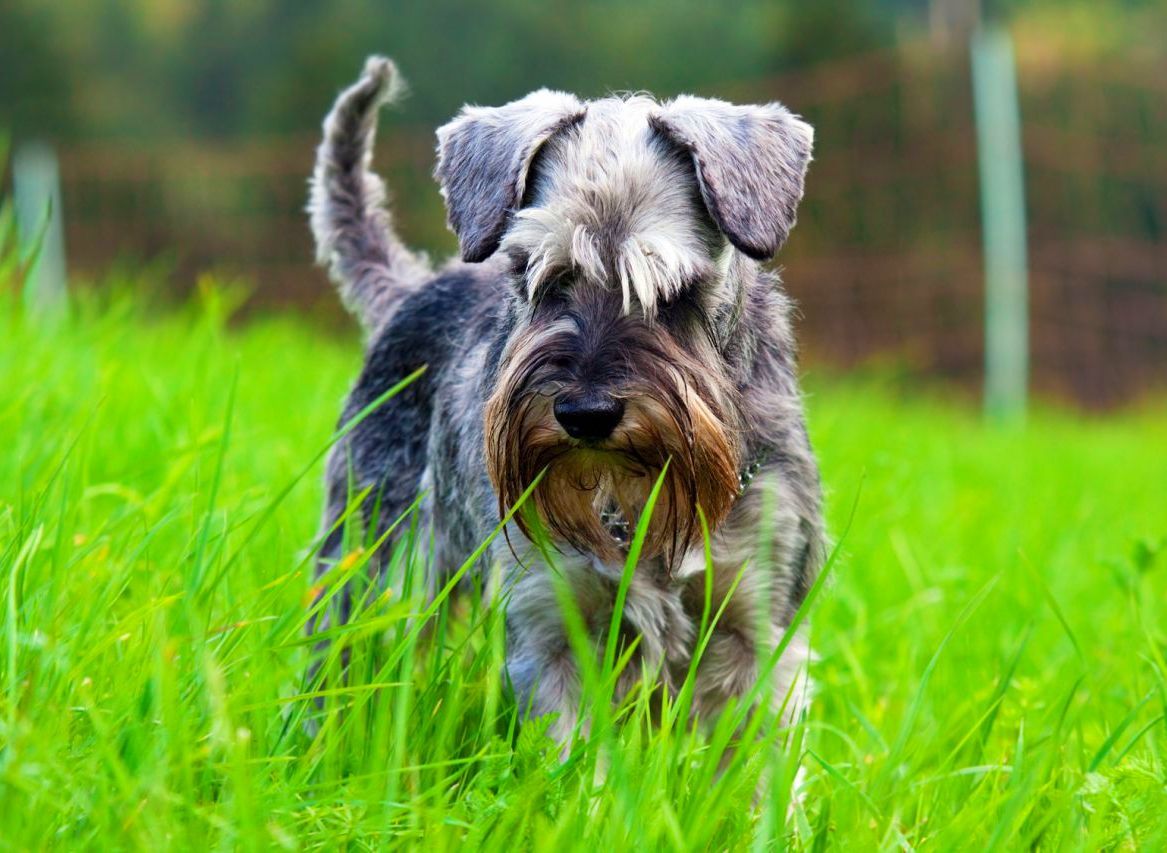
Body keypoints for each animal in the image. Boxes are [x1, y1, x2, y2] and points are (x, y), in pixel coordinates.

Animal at [305, 58, 826, 746]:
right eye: (538, 275)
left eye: (675, 290)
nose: (586, 414)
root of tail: (412, 289)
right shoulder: (554, 624)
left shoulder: (755, 623)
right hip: (373, 561)